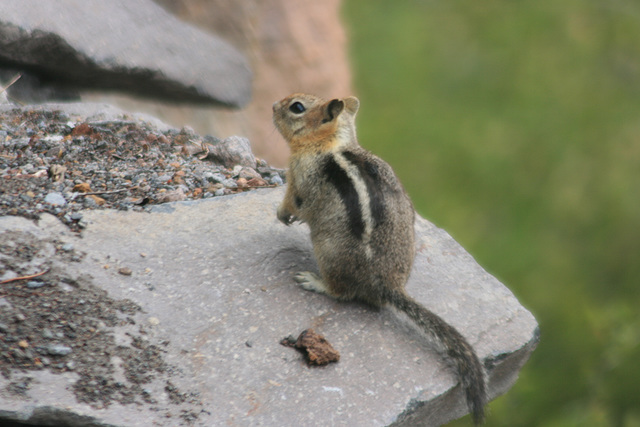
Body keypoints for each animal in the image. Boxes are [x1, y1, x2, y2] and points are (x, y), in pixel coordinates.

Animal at [272, 93, 488, 424]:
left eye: (296, 107)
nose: (272, 107)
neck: (330, 143)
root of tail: (389, 285)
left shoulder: (299, 179)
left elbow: (293, 202)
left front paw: (282, 215)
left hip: (326, 251)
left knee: (343, 292)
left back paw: (313, 281)